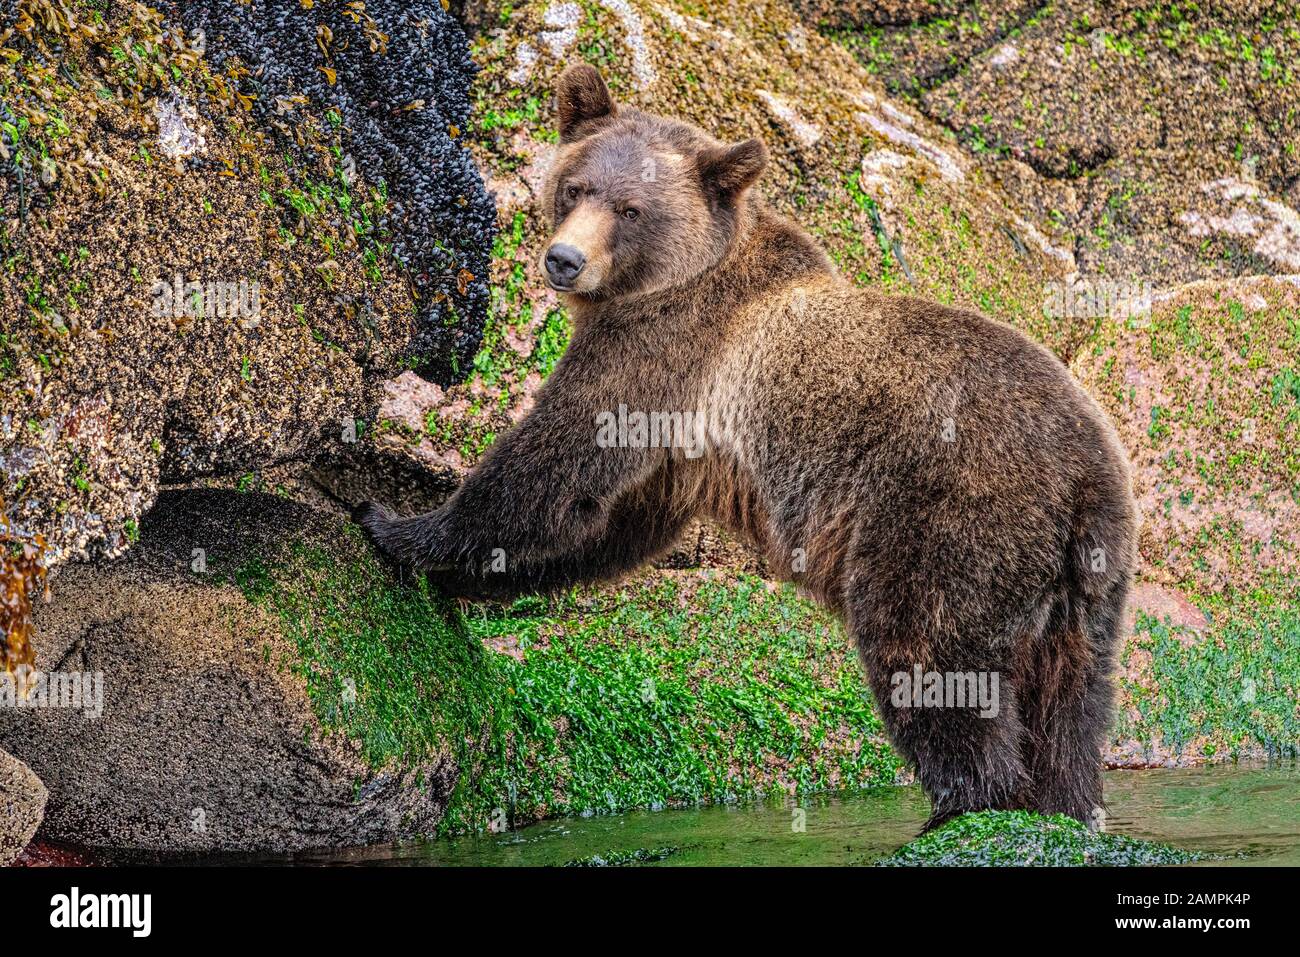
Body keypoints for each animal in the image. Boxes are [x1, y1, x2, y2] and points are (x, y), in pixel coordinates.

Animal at [358, 64, 1138, 831]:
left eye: (631, 209)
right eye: (576, 187)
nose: (564, 260)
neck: (664, 282)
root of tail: (1083, 475)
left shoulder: (661, 352)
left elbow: (554, 469)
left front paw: (392, 523)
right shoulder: (676, 448)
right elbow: (605, 523)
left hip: (950, 510)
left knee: (928, 651)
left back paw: (965, 804)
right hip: (1088, 578)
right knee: (1071, 702)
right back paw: (1067, 800)